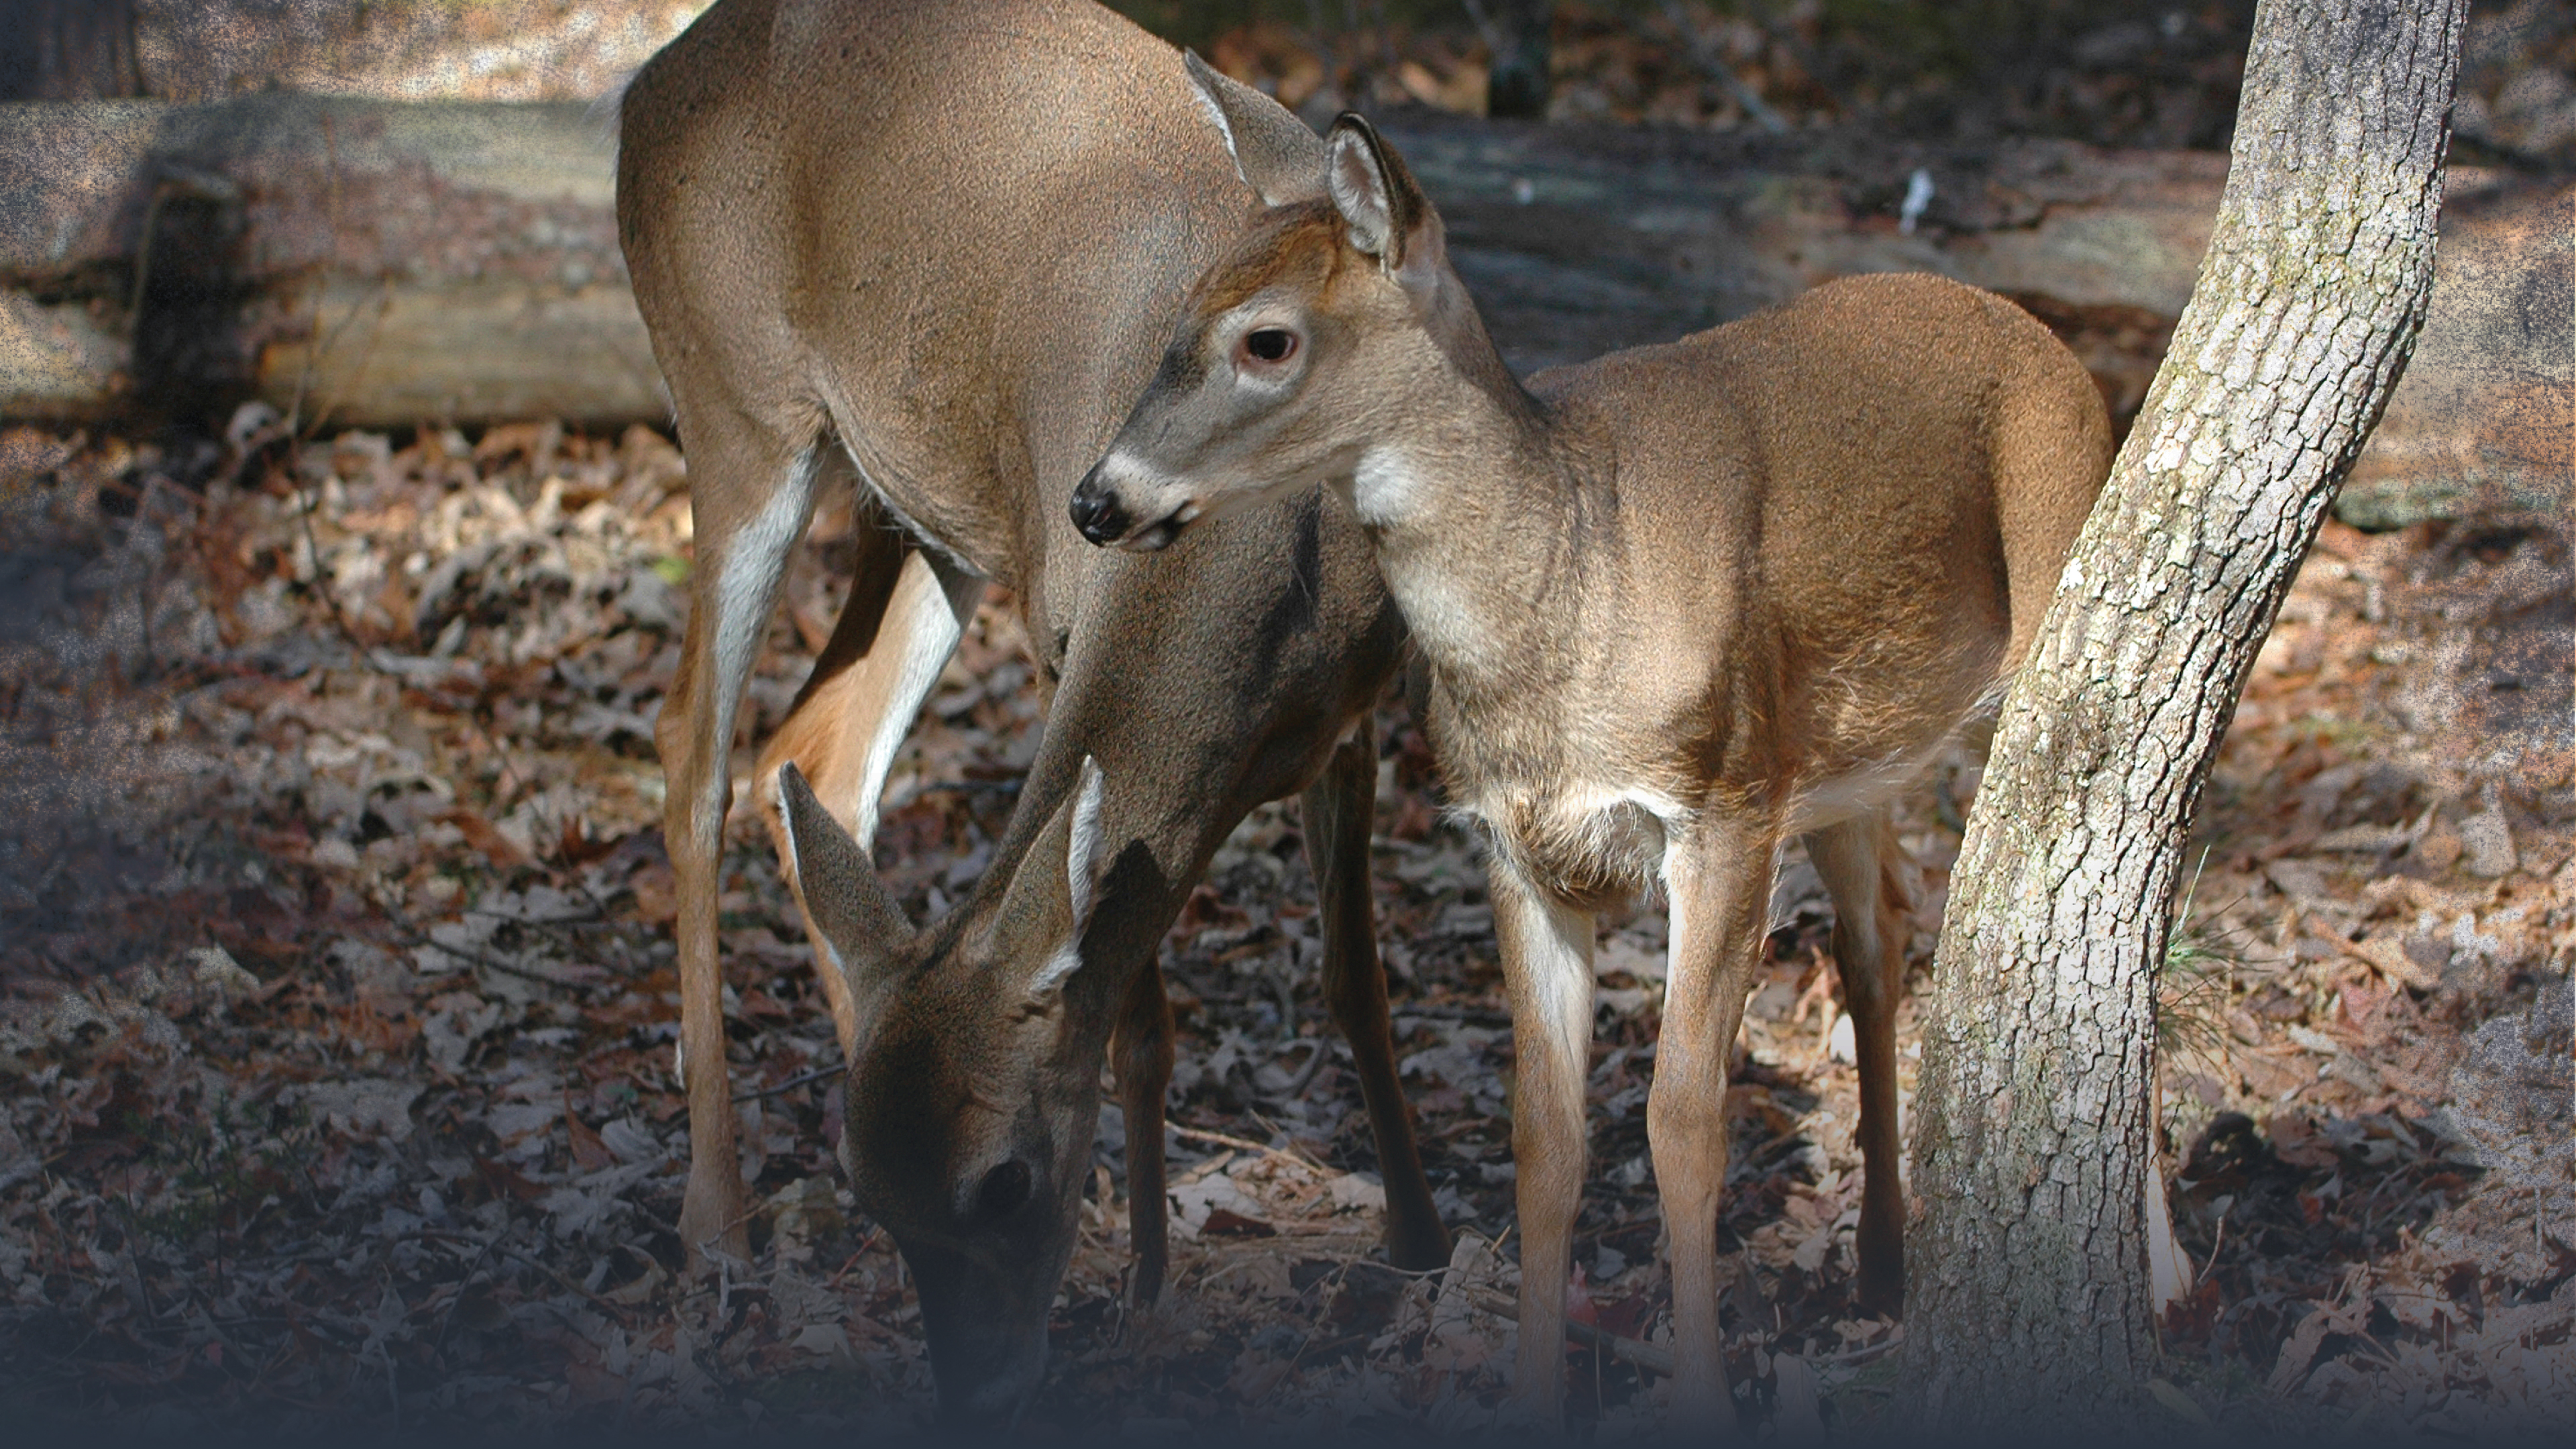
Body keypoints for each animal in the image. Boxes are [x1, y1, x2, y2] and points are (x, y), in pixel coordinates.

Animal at [614, 0, 1453, 1422]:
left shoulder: (1355, 702)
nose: (977, 1392)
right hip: (736, 408)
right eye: (882, 1201)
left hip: (922, 503)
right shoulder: (1064, 636)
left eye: (998, 1186)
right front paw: (1153, 1289)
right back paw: (713, 1219)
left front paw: (1419, 1245)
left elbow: (1356, 984)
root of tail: (640, 90)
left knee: (813, 748)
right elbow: (1137, 1016)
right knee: (690, 748)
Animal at [1069, 106, 2114, 1427]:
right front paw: (1532, 1395)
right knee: (1882, 939)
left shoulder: (1723, 806)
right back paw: (1882, 1261)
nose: (1097, 501)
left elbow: (1683, 1118)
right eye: (1180, 311)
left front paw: (1706, 1399)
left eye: (1268, 338)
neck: (1564, 605)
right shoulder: (1516, 845)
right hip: (1849, 758)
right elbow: (1546, 1136)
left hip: (2046, 613)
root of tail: (2039, 332)